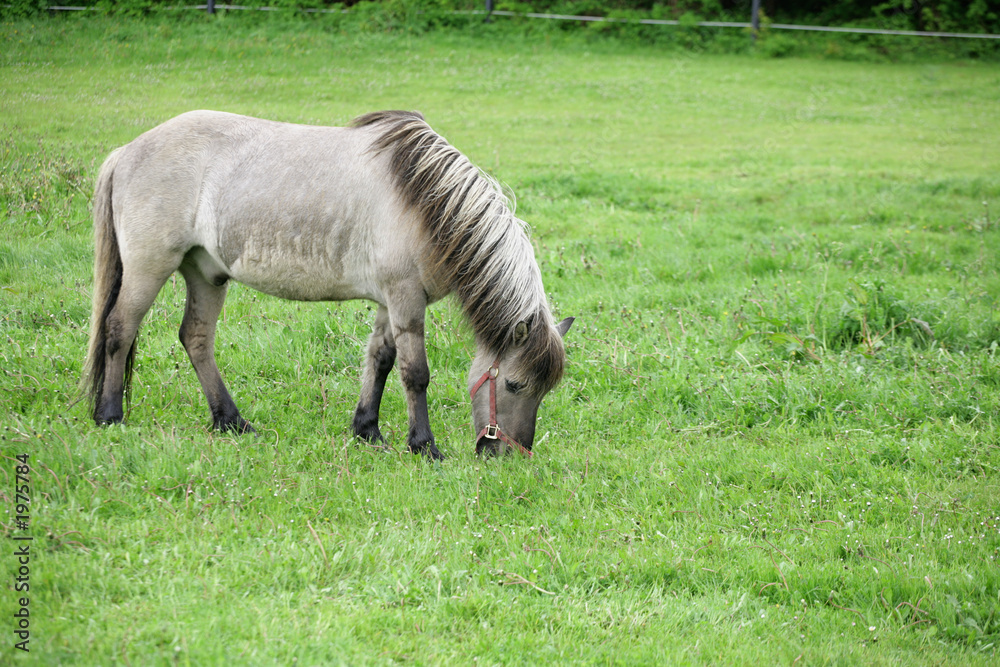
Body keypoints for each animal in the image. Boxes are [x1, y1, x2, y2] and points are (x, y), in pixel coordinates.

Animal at [81, 110, 573, 459]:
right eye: (515, 385)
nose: (506, 456)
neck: (426, 201)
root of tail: (128, 151)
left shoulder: (389, 302)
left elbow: (380, 361)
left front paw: (368, 431)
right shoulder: (406, 300)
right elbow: (415, 374)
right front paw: (423, 446)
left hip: (205, 273)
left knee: (196, 339)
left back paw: (231, 421)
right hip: (149, 267)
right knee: (119, 329)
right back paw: (110, 416)